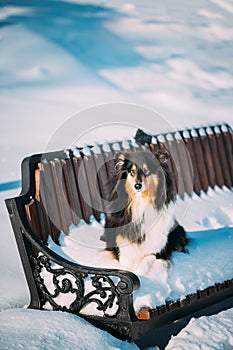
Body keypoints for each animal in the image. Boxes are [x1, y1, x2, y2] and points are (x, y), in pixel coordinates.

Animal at [102, 148, 189, 278]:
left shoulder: (160, 250)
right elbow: (125, 260)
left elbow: (148, 259)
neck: (141, 203)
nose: (137, 185)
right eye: (132, 172)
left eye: (146, 170)